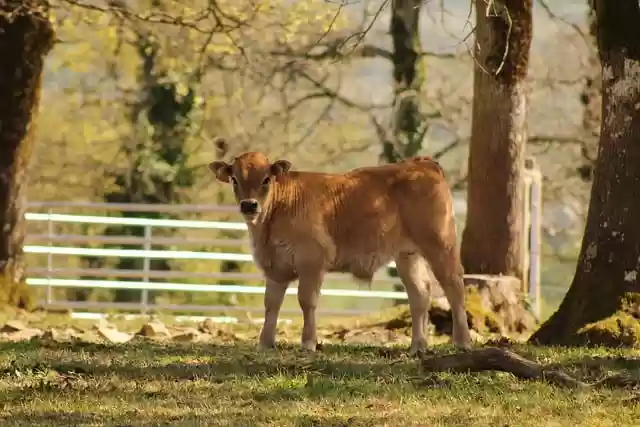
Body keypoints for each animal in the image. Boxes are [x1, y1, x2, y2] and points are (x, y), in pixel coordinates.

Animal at [209, 151, 472, 354]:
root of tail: (422, 163)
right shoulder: (275, 268)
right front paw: (265, 343)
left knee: (454, 288)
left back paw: (463, 342)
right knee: (420, 293)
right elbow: (271, 304)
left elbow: (307, 301)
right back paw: (418, 346)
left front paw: (308, 343)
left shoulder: (312, 261)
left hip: (440, 243)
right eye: (234, 179)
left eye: (266, 179)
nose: (249, 205)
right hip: (408, 255)